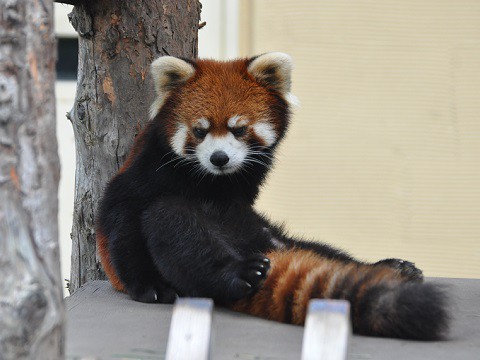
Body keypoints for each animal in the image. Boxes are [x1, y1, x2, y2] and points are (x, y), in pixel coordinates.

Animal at [95, 52, 448, 340]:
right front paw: (147, 285)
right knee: (171, 222)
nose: (219, 158)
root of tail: (257, 248)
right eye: (200, 130)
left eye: (239, 129)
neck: (214, 181)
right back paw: (237, 273)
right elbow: (123, 217)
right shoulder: (147, 169)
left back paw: (388, 266)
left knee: (320, 250)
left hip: (278, 238)